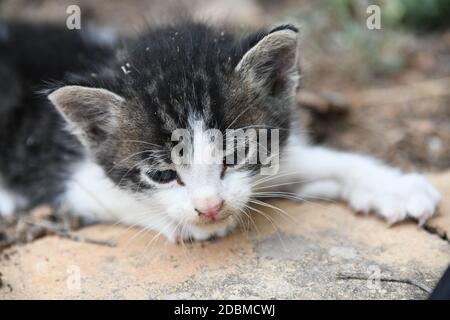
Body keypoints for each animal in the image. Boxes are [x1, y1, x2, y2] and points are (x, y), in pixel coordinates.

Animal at [0, 21, 440, 242]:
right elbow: (122, 199)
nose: (209, 207)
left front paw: (393, 187)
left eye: (237, 155)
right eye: (162, 174)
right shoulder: (69, 177)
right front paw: (192, 223)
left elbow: (319, 161)